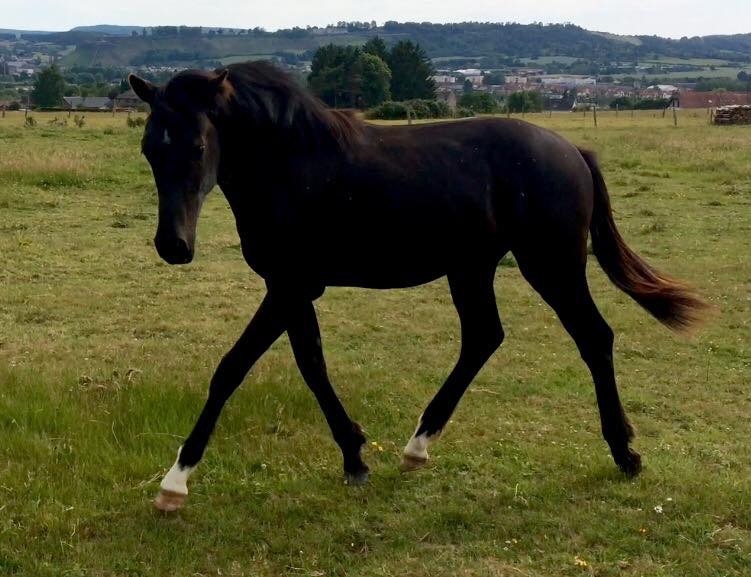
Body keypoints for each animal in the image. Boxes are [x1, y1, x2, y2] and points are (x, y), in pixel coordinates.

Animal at [127, 61, 706, 511]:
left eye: (198, 145)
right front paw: (355, 456)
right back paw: (418, 447)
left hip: (551, 265)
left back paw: (625, 453)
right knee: (484, 337)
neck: (292, 164)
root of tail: (573, 151)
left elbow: (233, 369)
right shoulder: (294, 289)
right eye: (149, 149)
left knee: (593, 337)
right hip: (473, 267)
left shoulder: (289, 286)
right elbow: (311, 365)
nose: (173, 246)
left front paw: (175, 483)